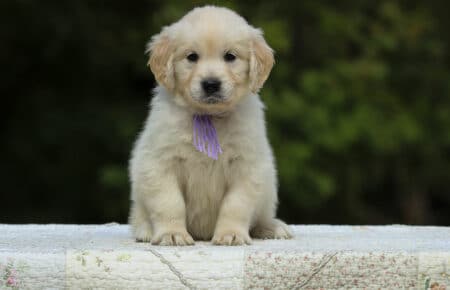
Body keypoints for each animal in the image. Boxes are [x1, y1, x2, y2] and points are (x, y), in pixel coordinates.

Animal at [128, 5, 294, 245]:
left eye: (230, 56)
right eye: (192, 57)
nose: (211, 84)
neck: (210, 117)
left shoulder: (247, 166)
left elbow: (236, 205)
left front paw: (231, 234)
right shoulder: (160, 163)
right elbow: (170, 203)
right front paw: (172, 233)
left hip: (268, 190)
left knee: (260, 217)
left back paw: (272, 227)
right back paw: (146, 231)